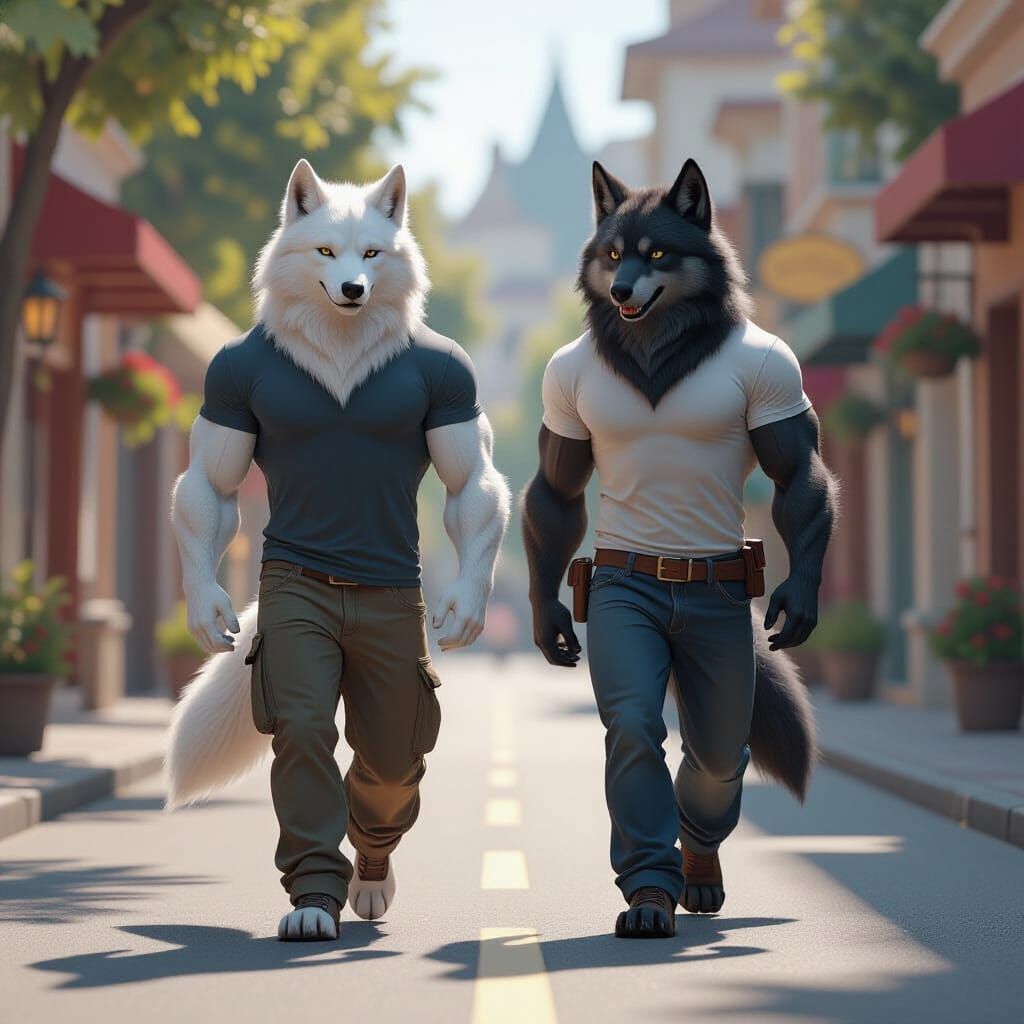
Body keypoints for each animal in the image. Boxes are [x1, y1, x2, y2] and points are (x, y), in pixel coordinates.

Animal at [167, 159, 509, 941]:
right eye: (326, 252)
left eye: (372, 255)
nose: (353, 289)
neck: (343, 343)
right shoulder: (223, 387)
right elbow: (209, 482)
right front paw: (310, 903)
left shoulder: (458, 387)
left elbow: (470, 483)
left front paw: (463, 611)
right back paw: (327, 900)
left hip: (395, 688)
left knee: (385, 765)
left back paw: (371, 884)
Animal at [523, 158, 836, 937]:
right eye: (613, 255)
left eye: (657, 253)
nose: (622, 290)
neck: (657, 342)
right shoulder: (559, 406)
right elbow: (557, 490)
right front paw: (645, 896)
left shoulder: (783, 390)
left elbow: (798, 474)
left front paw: (798, 601)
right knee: (677, 751)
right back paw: (666, 890)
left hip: (722, 675)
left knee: (715, 760)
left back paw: (699, 874)